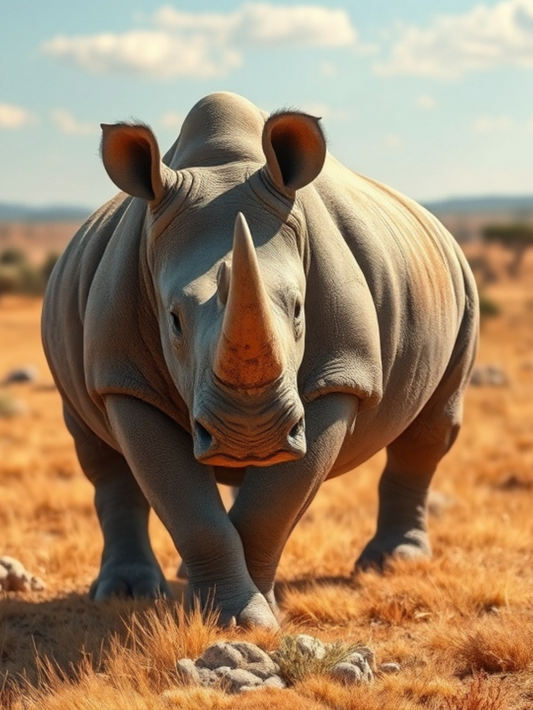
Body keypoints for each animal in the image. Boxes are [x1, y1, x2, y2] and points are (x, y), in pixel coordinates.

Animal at [42, 92, 478, 628]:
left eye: (298, 309)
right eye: (173, 320)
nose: (250, 433)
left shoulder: (340, 375)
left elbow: (273, 506)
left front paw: (250, 617)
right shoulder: (123, 379)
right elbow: (190, 508)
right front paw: (229, 618)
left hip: (462, 285)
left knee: (430, 431)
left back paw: (393, 564)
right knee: (99, 452)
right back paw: (126, 595)